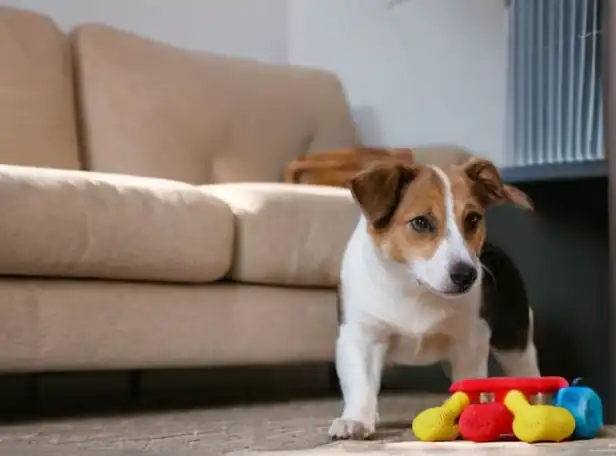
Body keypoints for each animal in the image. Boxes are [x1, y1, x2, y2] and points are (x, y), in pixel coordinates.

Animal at [328, 156, 540, 438]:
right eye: (420, 222)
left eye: (473, 219)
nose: (467, 275)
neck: (413, 288)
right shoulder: (360, 335)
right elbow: (361, 383)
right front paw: (356, 420)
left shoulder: (470, 340)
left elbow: (468, 381)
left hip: (515, 341)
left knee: (528, 373)